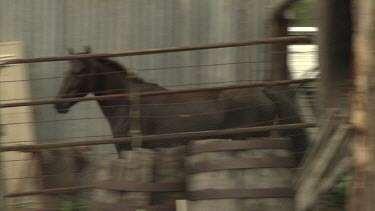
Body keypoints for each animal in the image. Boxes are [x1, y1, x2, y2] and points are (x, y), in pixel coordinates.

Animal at [55, 48, 308, 163]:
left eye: (80, 71)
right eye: (67, 70)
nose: (59, 104)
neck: (127, 105)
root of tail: (262, 90)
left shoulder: (126, 150)